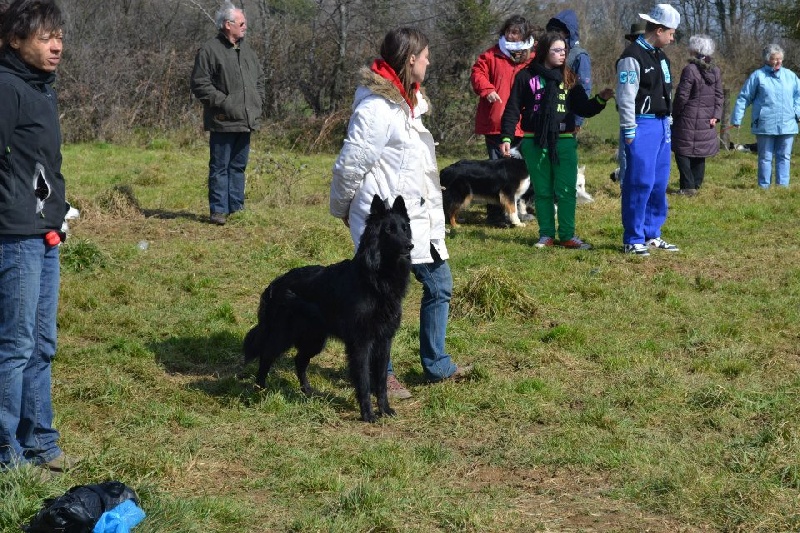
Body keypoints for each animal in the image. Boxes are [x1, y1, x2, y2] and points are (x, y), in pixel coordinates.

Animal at [244, 193, 412, 422]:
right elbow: (364, 380)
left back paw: (307, 391)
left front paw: (385, 409)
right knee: (266, 355)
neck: (375, 278)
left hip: (314, 339)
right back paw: (259, 390)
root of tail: (275, 283)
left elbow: (381, 381)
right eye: (389, 230)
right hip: (284, 335)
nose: (410, 246)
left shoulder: (384, 340)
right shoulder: (361, 343)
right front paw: (368, 414)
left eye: (405, 228)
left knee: (299, 360)